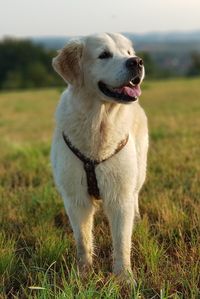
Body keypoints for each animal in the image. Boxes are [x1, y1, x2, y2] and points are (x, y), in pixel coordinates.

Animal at [51, 32, 148, 278]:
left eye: (128, 53)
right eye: (104, 55)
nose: (137, 61)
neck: (99, 122)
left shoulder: (120, 195)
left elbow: (122, 242)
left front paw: (124, 278)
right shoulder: (76, 197)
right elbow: (83, 240)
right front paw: (83, 274)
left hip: (138, 171)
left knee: (135, 195)